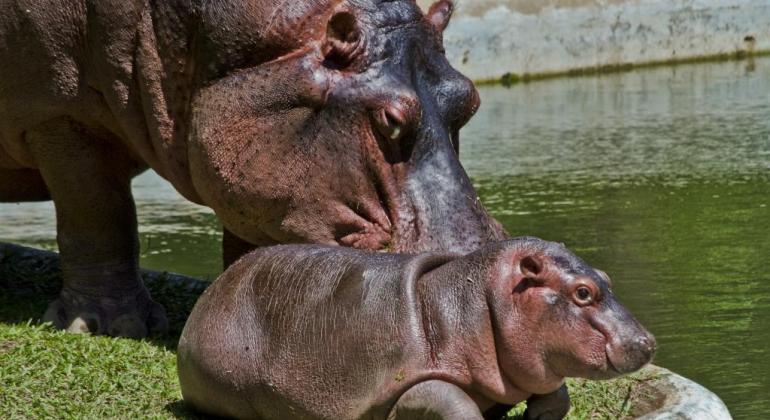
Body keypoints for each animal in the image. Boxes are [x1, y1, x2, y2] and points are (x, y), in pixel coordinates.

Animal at [0, 0, 504, 336]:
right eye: (390, 120)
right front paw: (111, 326)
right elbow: (98, 215)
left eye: (471, 99)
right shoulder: (60, 115)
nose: (475, 269)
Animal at [178, 238, 656, 418]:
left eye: (604, 278)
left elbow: (556, 395)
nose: (647, 340)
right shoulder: (411, 385)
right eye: (582, 293)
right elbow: (457, 405)